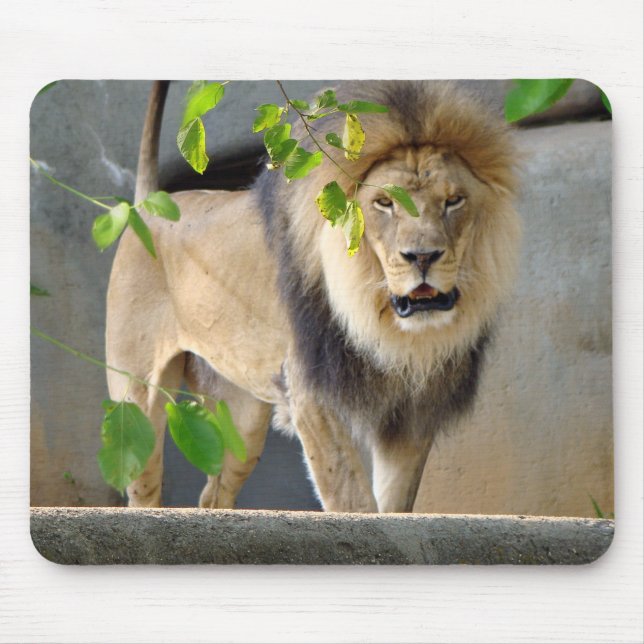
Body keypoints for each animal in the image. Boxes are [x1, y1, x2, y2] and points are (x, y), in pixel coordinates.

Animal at [105, 80, 520, 512]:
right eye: (384, 202)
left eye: (453, 201)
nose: (422, 257)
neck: (387, 328)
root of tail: (147, 206)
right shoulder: (314, 395)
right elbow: (352, 497)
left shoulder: (411, 413)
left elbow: (394, 505)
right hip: (137, 394)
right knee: (143, 486)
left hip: (241, 417)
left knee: (213, 495)